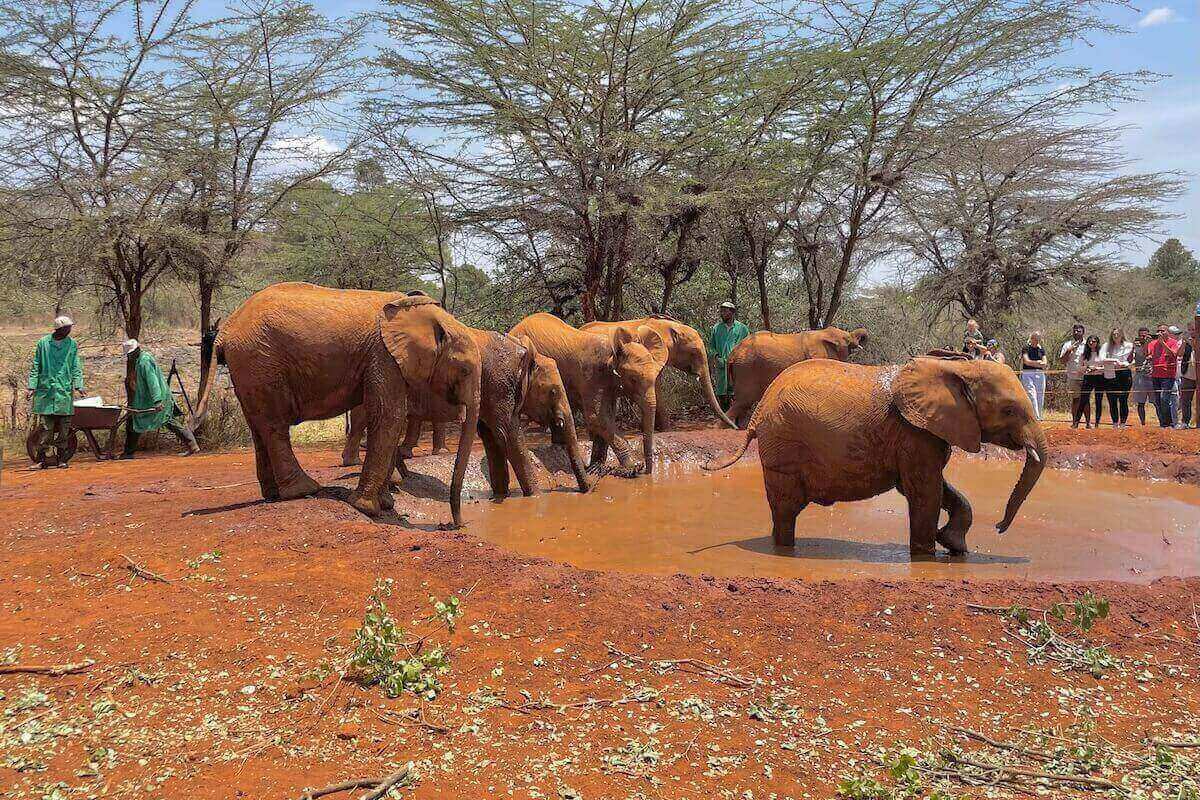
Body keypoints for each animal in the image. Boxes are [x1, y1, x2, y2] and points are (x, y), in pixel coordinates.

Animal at [192, 282, 482, 525]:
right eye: (465, 370)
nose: (456, 524)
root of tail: (226, 329)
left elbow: (392, 418)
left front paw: (386, 503)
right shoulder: (383, 355)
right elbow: (389, 416)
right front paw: (366, 508)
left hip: (249, 367)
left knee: (258, 426)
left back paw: (274, 494)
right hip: (260, 361)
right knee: (274, 426)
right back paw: (304, 490)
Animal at [509, 313, 667, 475]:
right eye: (633, 379)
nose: (648, 473)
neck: (612, 353)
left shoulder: (608, 382)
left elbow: (607, 416)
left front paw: (596, 468)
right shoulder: (591, 375)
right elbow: (597, 417)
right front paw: (634, 467)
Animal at [706, 356, 1046, 556]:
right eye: (1009, 410)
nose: (999, 527)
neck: (958, 368)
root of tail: (759, 411)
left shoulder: (926, 433)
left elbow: (932, 487)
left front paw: (953, 545)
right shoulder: (914, 434)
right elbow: (924, 492)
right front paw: (926, 555)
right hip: (783, 445)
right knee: (786, 508)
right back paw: (786, 551)